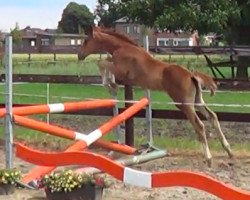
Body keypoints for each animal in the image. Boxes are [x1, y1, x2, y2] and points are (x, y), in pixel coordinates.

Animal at [78, 27, 232, 167]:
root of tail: (191, 75)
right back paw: (228, 149)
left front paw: (110, 85)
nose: (79, 55)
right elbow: (105, 61)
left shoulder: (121, 71)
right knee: (212, 116)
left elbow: (102, 63)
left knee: (199, 125)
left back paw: (209, 158)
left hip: (184, 104)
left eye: (86, 40)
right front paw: (111, 84)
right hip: (197, 101)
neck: (122, 47)